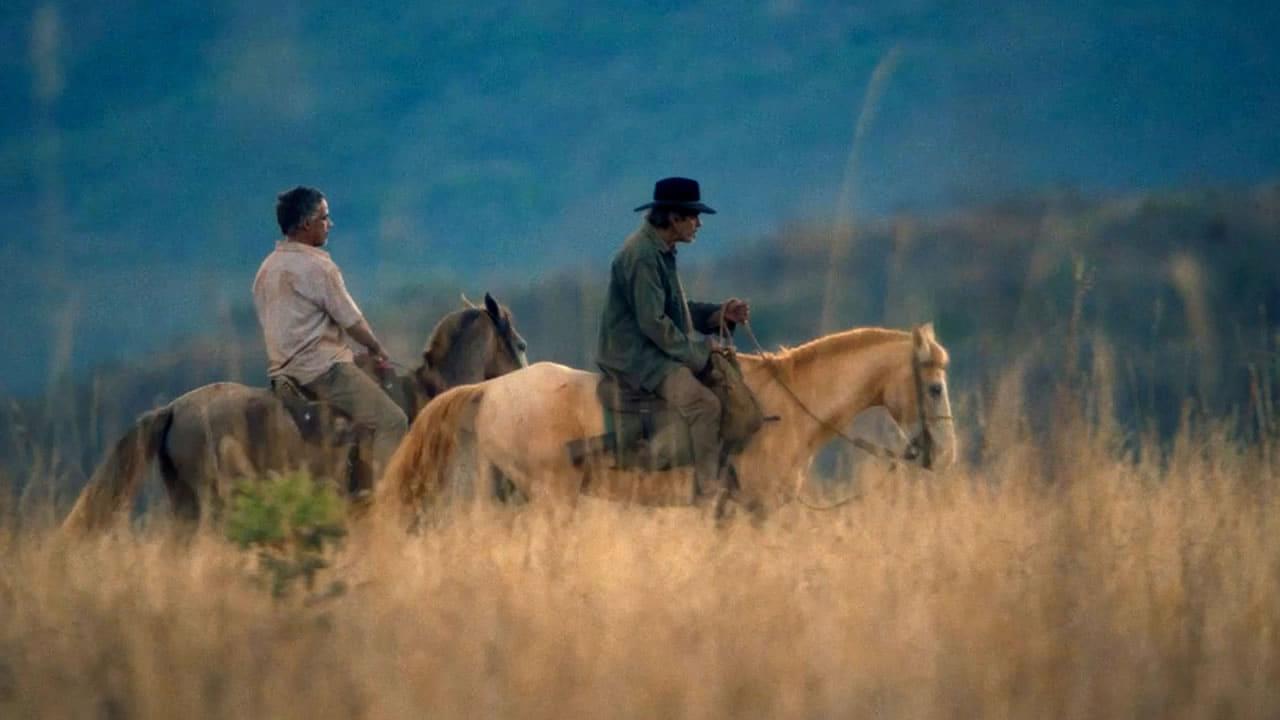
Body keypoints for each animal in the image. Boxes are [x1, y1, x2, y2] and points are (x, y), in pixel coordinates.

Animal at [381, 320, 962, 520]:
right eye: (934, 386)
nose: (947, 455)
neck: (788, 407)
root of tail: (490, 390)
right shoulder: (758, 509)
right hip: (550, 498)